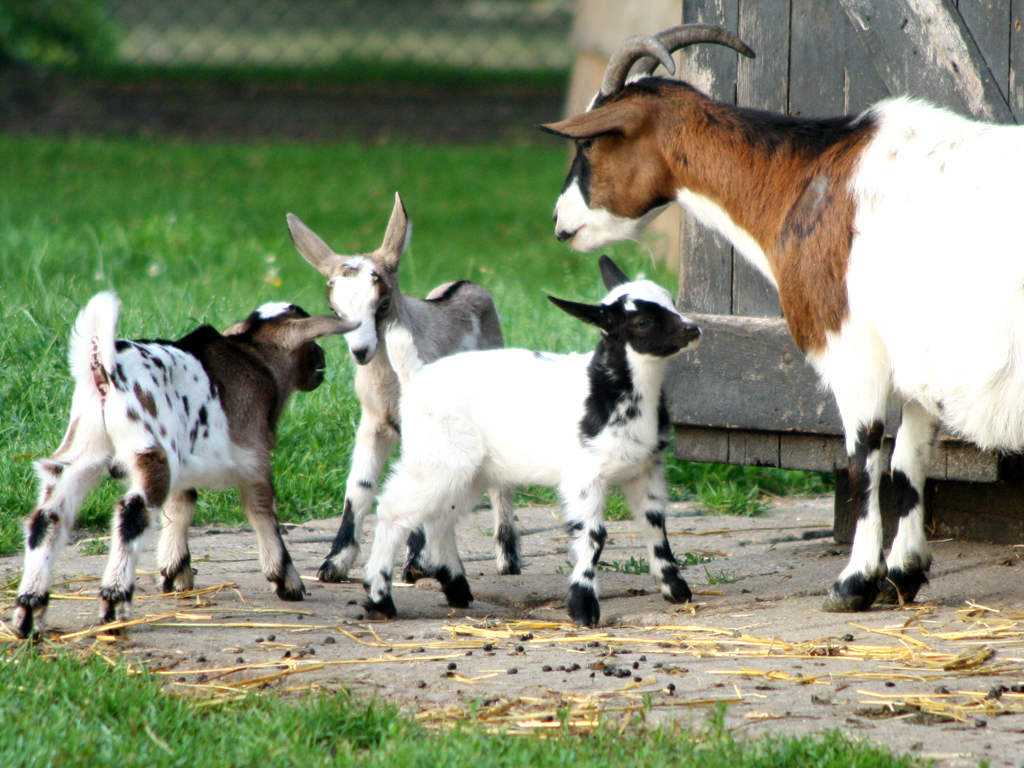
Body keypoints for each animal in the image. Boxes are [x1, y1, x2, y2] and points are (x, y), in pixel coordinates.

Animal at [9, 294, 356, 638]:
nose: (323, 358)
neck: (254, 359)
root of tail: (103, 367)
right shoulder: (254, 458)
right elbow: (263, 512)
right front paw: (287, 580)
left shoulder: (184, 460)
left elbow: (182, 504)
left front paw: (176, 573)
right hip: (150, 450)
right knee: (132, 513)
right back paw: (114, 605)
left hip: (84, 448)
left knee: (48, 517)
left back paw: (29, 612)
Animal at [286, 195, 520, 585]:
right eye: (334, 309)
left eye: (382, 303)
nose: (361, 351)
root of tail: (466, 285)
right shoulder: (373, 422)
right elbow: (359, 487)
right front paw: (334, 564)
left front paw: (417, 561)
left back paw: (507, 560)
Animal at [362, 256, 704, 626]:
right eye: (642, 321)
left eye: (671, 301)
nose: (693, 330)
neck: (607, 390)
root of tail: (415, 375)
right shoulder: (584, 475)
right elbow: (592, 535)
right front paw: (584, 608)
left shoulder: (646, 468)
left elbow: (655, 524)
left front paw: (676, 590)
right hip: (437, 454)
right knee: (394, 511)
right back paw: (380, 599)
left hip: (467, 467)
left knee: (441, 517)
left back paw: (457, 590)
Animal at [540, 22, 1024, 614]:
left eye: (589, 141)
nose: (561, 220)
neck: (807, 179)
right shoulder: (919, 358)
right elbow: (909, 464)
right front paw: (903, 575)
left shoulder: (851, 346)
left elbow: (863, 459)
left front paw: (853, 584)